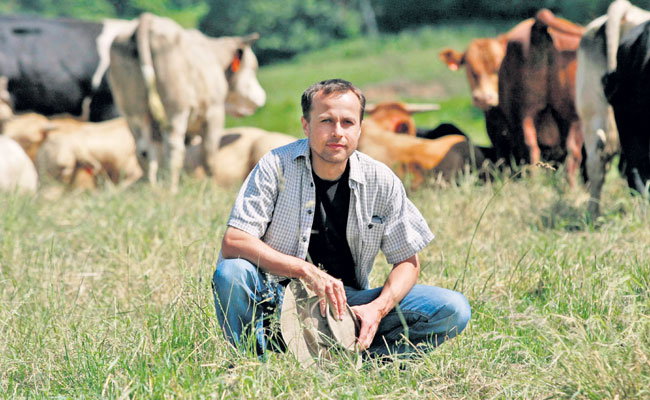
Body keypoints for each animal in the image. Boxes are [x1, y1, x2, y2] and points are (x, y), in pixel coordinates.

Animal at [109, 12, 266, 193]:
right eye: (253, 68)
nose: (262, 97)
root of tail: (149, 19)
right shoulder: (214, 112)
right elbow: (209, 156)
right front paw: (212, 188)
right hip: (175, 109)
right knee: (173, 146)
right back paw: (172, 189)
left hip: (133, 113)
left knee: (144, 150)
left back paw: (152, 188)